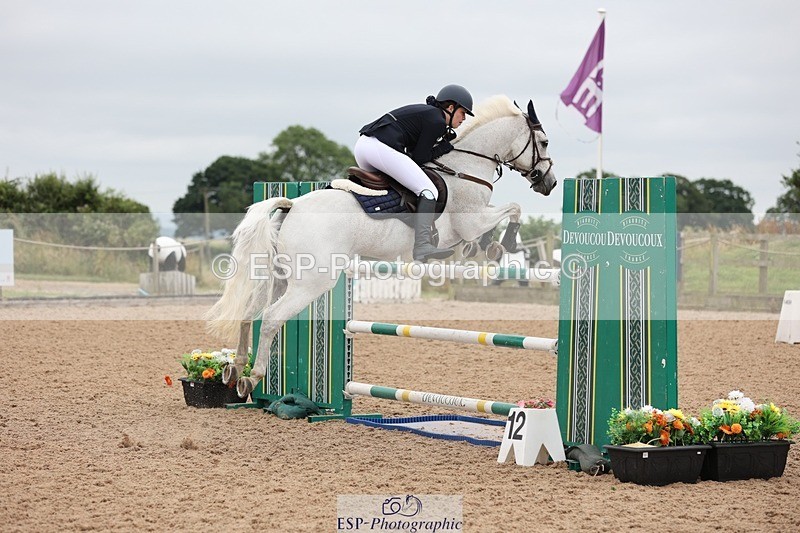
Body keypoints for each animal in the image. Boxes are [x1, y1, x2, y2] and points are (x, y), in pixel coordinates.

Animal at [206, 94, 557, 398]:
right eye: (544, 142)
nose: (549, 183)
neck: (466, 168)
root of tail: (292, 204)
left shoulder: (471, 225)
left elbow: (490, 227)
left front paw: (485, 247)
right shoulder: (471, 220)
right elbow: (513, 208)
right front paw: (503, 244)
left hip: (280, 277)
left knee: (249, 313)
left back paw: (235, 369)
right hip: (312, 282)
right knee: (271, 318)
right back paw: (253, 377)